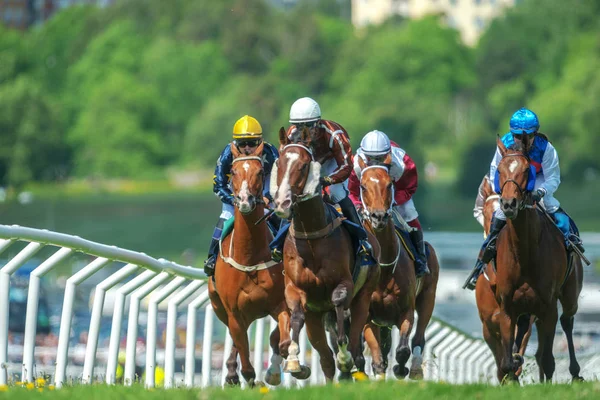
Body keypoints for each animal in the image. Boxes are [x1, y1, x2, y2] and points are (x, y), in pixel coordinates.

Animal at [206, 142, 290, 386]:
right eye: (233, 172)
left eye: (260, 172)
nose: (245, 200)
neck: (250, 257)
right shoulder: (234, 312)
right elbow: (246, 362)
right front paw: (241, 375)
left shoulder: (280, 303)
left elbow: (281, 339)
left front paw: (279, 370)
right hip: (220, 307)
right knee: (236, 339)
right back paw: (231, 373)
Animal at [272, 127, 380, 382]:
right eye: (279, 163)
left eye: (303, 165)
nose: (282, 203)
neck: (311, 236)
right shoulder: (296, 289)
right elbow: (296, 315)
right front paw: (294, 360)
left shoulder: (344, 283)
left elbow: (339, 302)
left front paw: (344, 356)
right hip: (316, 316)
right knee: (325, 358)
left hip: (364, 297)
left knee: (354, 343)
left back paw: (349, 363)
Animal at [354, 160, 438, 382]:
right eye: (363, 186)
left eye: (389, 184)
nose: (379, 216)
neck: (385, 268)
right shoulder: (368, 316)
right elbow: (377, 358)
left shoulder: (405, 310)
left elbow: (402, 350)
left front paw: (400, 369)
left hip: (428, 297)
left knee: (419, 338)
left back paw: (415, 370)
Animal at [474, 174, 536, 382]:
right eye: (485, 213)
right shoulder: (487, 325)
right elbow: (499, 358)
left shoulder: (521, 318)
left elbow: (517, 345)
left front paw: (514, 368)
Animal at [490, 136, 584, 382]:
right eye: (500, 170)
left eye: (526, 170)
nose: (509, 204)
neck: (524, 252)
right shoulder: (507, 307)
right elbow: (507, 362)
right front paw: (513, 366)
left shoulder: (548, 307)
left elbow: (548, 360)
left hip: (570, 294)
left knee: (567, 321)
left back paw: (575, 372)